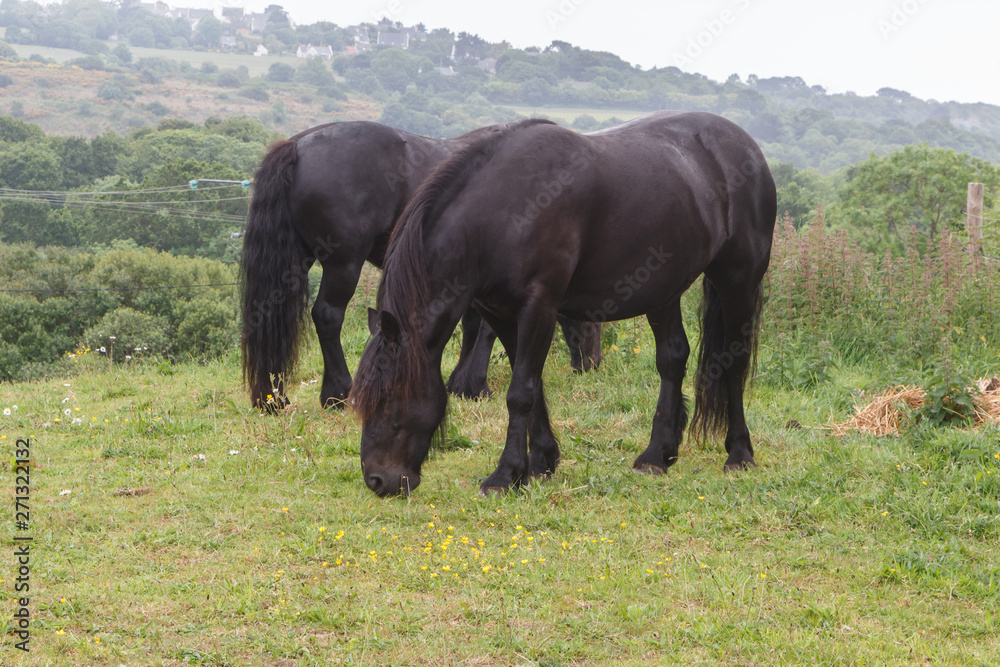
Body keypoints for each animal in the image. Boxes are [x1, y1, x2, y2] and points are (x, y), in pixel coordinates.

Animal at [240, 122, 600, 410]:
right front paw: (475, 385)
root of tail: (298, 145)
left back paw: (274, 398)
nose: (592, 364)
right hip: (343, 264)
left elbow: (472, 326)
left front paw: (460, 383)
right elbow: (485, 329)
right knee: (327, 316)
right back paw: (338, 393)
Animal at [352, 111, 780, 496]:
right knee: (672, 359)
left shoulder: (539, 306)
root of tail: (746, 148)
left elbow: (520, 392)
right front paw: (541, 462)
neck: (503, 211)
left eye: (388, 398)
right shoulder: (503, 314)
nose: (377, 481)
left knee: (734, 361)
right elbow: (532, 385)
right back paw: (657, 455)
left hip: (737, 281)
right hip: (663, 289)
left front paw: (504, 476)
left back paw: (739, 453)